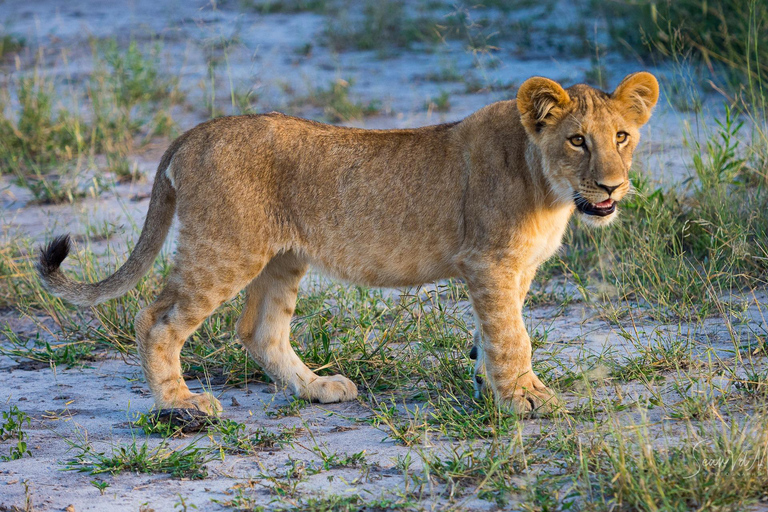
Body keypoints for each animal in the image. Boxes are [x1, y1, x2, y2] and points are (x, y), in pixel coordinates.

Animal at [37, 72, 660, 416]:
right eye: (577, 141)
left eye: (622, 136)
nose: (612, 186)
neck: (549, 189)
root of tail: (197, 130)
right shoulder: (489, 264)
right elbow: (513, 337)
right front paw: (526, 400)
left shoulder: (511, 271)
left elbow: (494, 334)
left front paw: (492, 388)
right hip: (224, 250)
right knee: (157, 320)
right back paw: (180, 406)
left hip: (283, 258)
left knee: (260, 331)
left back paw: (317, 388)